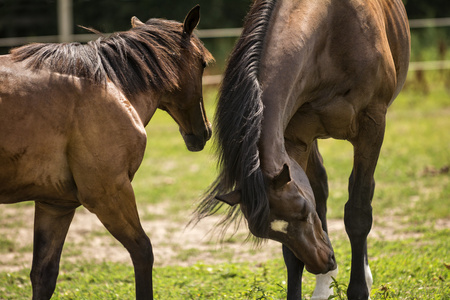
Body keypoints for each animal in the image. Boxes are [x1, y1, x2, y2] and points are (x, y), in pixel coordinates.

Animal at [0, 5, 214, 300]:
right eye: (203, 63)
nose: (205, 132)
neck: (108, 85)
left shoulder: (55, 205)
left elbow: (44, 275)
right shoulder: (109, 193)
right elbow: (143, 252)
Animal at [195, 0, 410, 300]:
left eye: (303, 212)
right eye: (272, 234)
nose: (323, 263)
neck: (332, 32)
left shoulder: (372, 126)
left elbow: (358, 212)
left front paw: (358, 289)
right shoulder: (296, 138)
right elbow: (292, 252)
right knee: (321, 188)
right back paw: (324, 286)